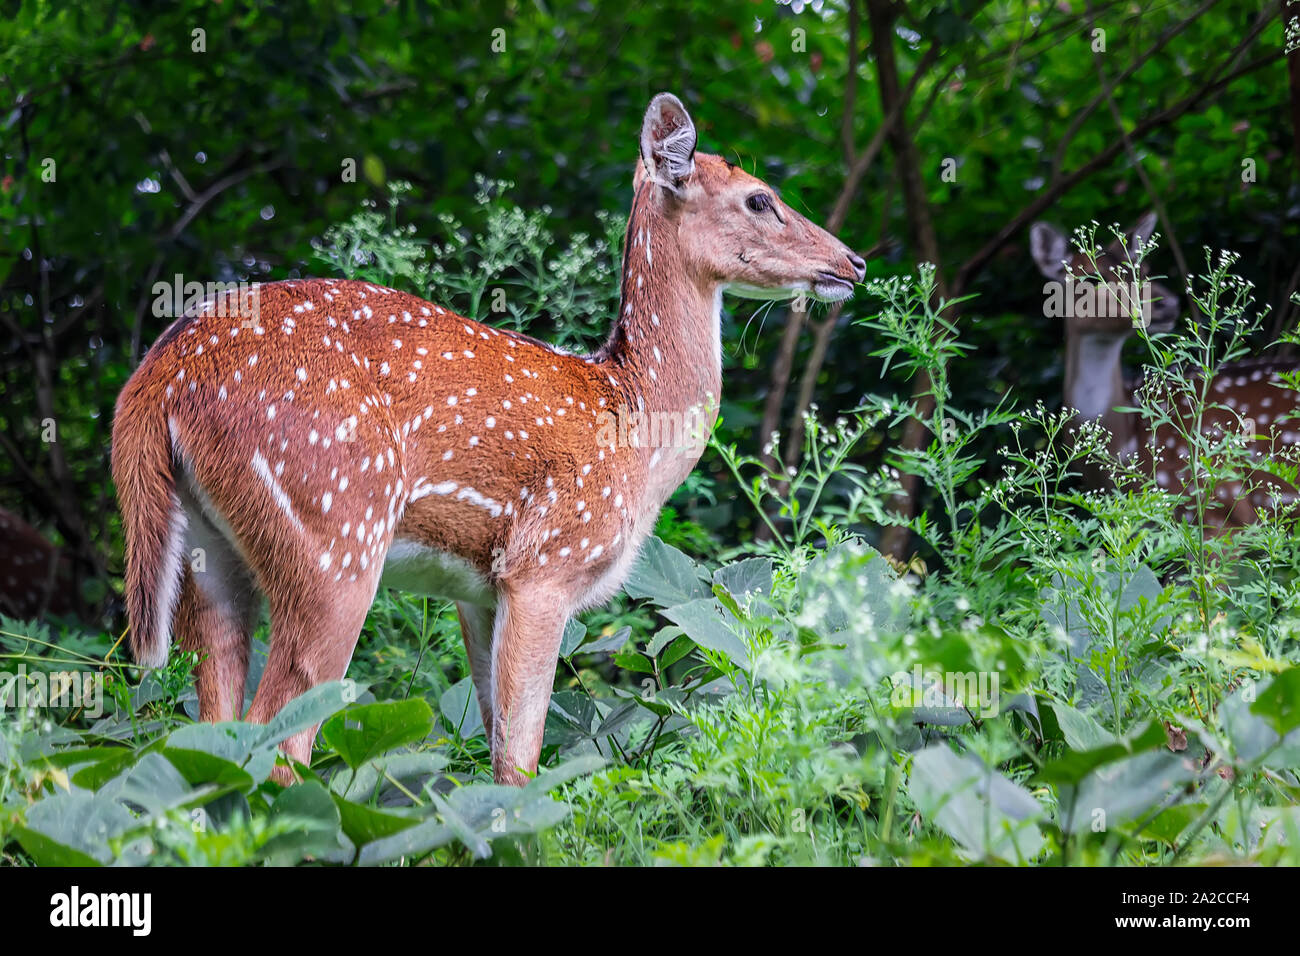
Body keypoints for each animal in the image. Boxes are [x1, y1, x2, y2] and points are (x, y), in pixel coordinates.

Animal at [111, 91, 863, 785]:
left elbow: (498, 741)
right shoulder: (546, 563)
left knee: (211, 737)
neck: (634, 420)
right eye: (759, 198)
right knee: (280, 743)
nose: (852, 262)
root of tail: (159, 377)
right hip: (334, 532)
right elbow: (521, 762)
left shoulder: (478, 591)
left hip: (207, 557)